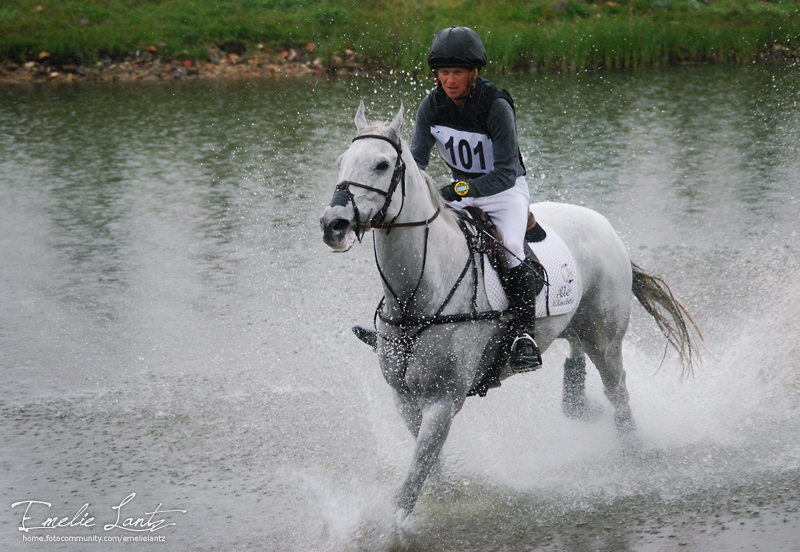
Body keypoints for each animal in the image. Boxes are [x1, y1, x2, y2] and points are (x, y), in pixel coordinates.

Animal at [318, 103, 700, 516]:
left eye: (382, 165)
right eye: (341, 162)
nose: (333, 224)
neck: (418, 294)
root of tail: (605, 225)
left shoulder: (444, 400)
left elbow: (415, 474)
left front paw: (395, 522)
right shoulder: (404, 397)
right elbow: (428, 465)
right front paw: (442, 495)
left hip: (605, 337)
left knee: (618, 392)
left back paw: (631, 455)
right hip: (575, 324)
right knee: (576, 365)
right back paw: (584, 408)